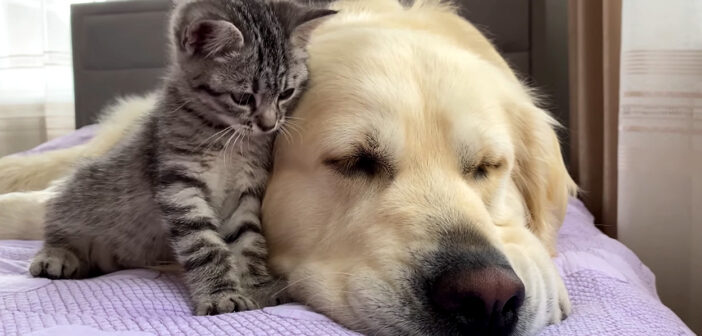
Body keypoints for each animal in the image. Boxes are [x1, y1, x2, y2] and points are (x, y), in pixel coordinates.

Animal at [27, 0, 336, 316]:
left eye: (286, 93)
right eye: (243, 98)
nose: (269, 124)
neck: (225, 137)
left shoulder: (245, 191)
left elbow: (249, 240)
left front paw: (258, 286)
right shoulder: (179, 185)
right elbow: (205, 245)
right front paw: (221, 294)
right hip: (84, 189)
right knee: (57, 221)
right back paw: (56, 255)